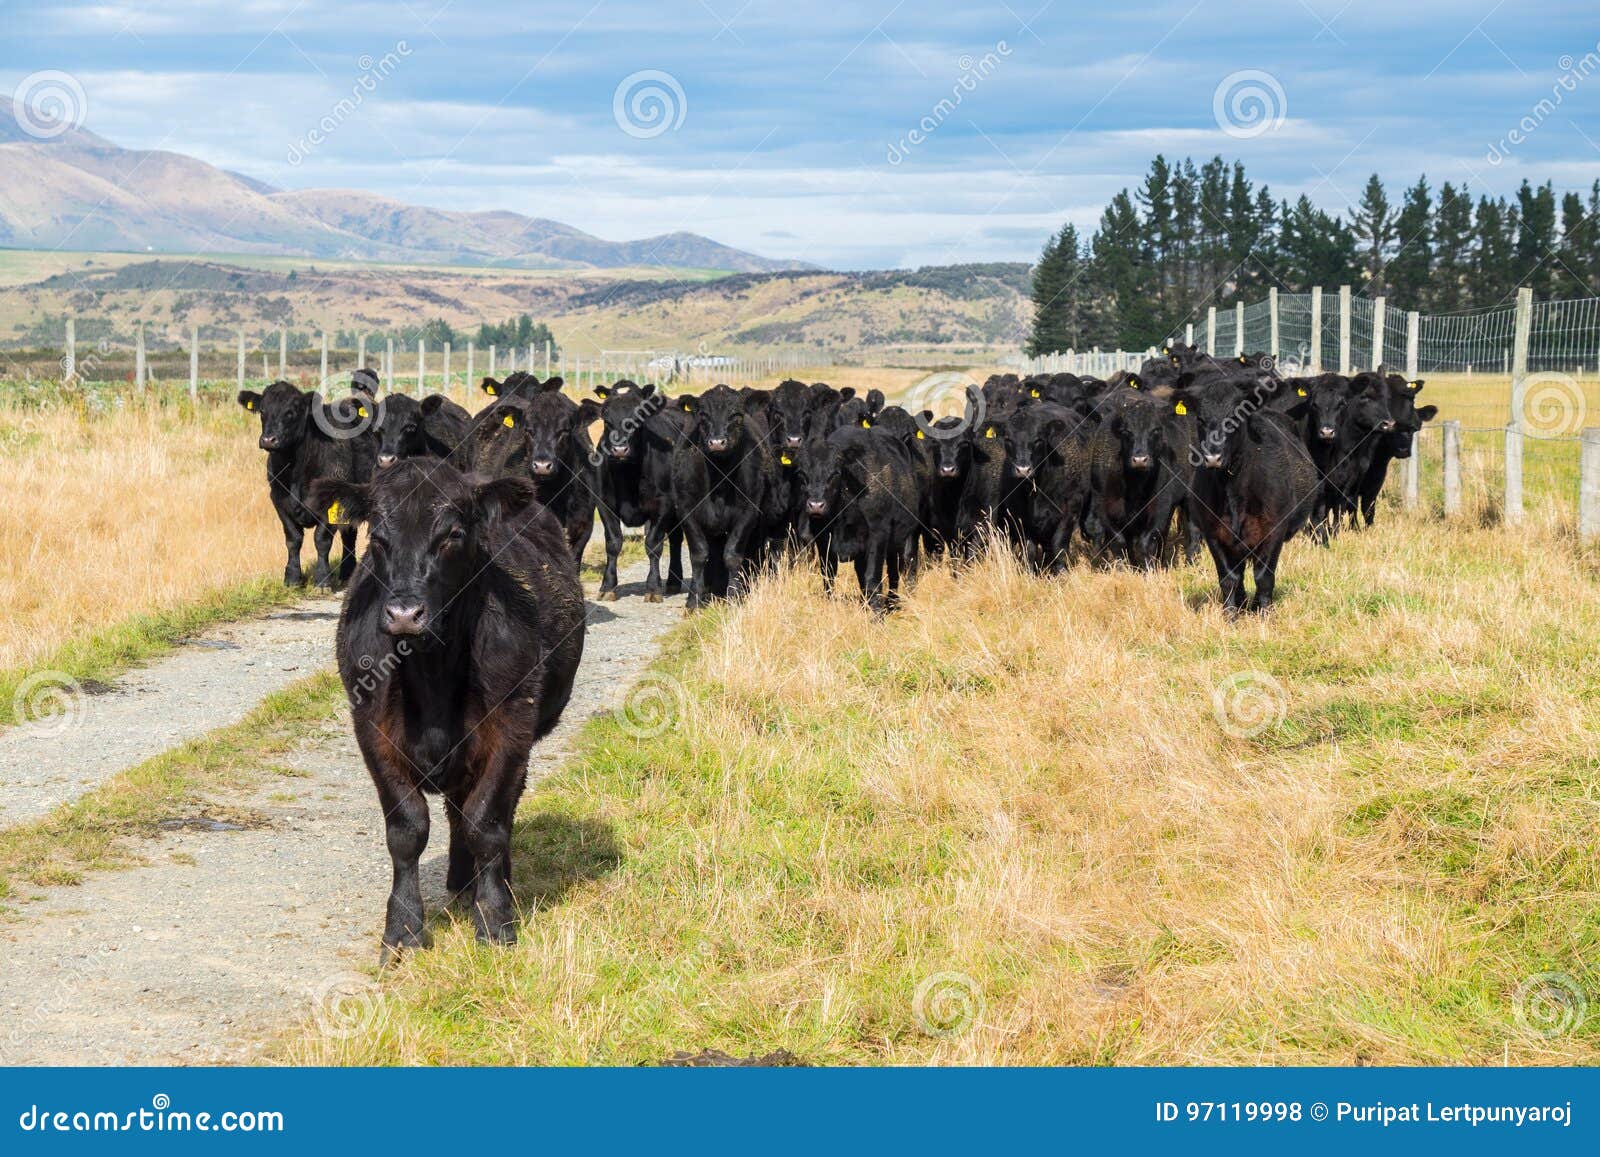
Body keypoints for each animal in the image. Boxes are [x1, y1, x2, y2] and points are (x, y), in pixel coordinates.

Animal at [238, 380, 373, 588]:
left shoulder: (329, 503)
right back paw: (346, 573)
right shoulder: (278, 499)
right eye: (262, 411)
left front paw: (323, 580)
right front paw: (292, 578)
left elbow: (322, 540)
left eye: (291, 412)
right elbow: (293, 539)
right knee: (349, 536)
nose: (268, 440)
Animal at [310, 459, 584, 962]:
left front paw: (495, 921)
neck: (431, 670)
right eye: (378, 536)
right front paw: (402, 931)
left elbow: (487, 822)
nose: (404, 613)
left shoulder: (510, 730)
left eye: (453, 534)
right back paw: (461, 881)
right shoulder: (372, 733)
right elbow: (407, 830)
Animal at [579, 381, 687, 601]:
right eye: (606, 419)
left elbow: (653, 545)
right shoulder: (604, 504)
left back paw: (673, 581)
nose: (620, 449)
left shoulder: (663, 504)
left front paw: (653, 588)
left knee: (676, 540)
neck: (626, 475)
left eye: (639, 418)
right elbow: (613, 543)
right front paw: (607, 586)